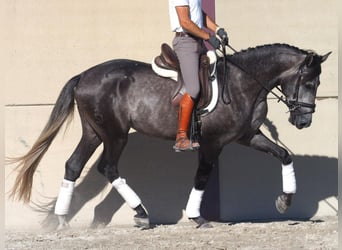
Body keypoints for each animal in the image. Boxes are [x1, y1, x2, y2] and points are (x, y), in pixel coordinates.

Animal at [10, 43, 332, 229]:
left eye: (317, 83)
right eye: (308, 81)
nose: (304, 120)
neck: (242, 82)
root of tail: (84, 76)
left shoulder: (247, 136)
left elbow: (284, 154)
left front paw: (284, 202)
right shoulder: (213, 142)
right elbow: (202, 176)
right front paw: (197, 217)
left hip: (94, 132)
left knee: (73, 166)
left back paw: (60, 220)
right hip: (115, 134)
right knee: (108, 167)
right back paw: (141, 213)